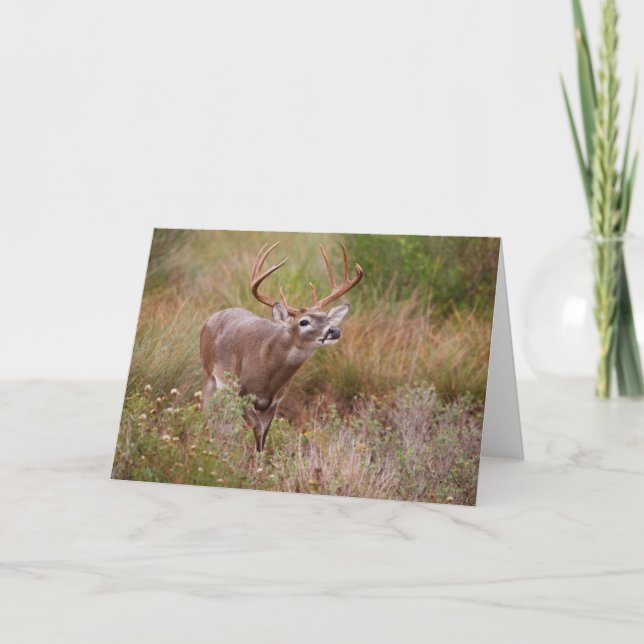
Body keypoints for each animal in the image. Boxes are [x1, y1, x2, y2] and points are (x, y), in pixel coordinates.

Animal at [199, 241, 364, 452]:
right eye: (304, 322)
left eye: (326, 318)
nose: (334, 330)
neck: (267, 371)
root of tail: (212, 317)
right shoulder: (240, 393)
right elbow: (258, 428)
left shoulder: (275, 401)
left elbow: (264, 434)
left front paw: (261, 459)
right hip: (208, 372)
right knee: (206, 411)